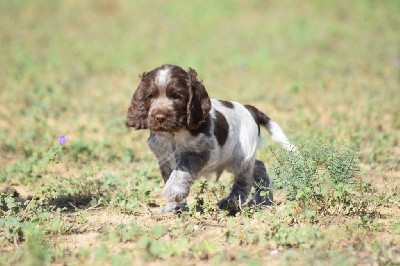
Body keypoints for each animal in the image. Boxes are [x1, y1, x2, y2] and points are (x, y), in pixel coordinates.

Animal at [126, 64, 296, 214]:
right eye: (150, 96)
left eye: (177, 96)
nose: (159, 116)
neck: (173, 133)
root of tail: (250, 109)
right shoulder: (164, 158)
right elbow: (170, 176)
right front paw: (174, 207)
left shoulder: (200, 151)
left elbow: (181, 171)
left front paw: (173, 191)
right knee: (259, 166)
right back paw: (264, 199)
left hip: (242, 155)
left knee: (244, 182)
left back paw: (231, 202)